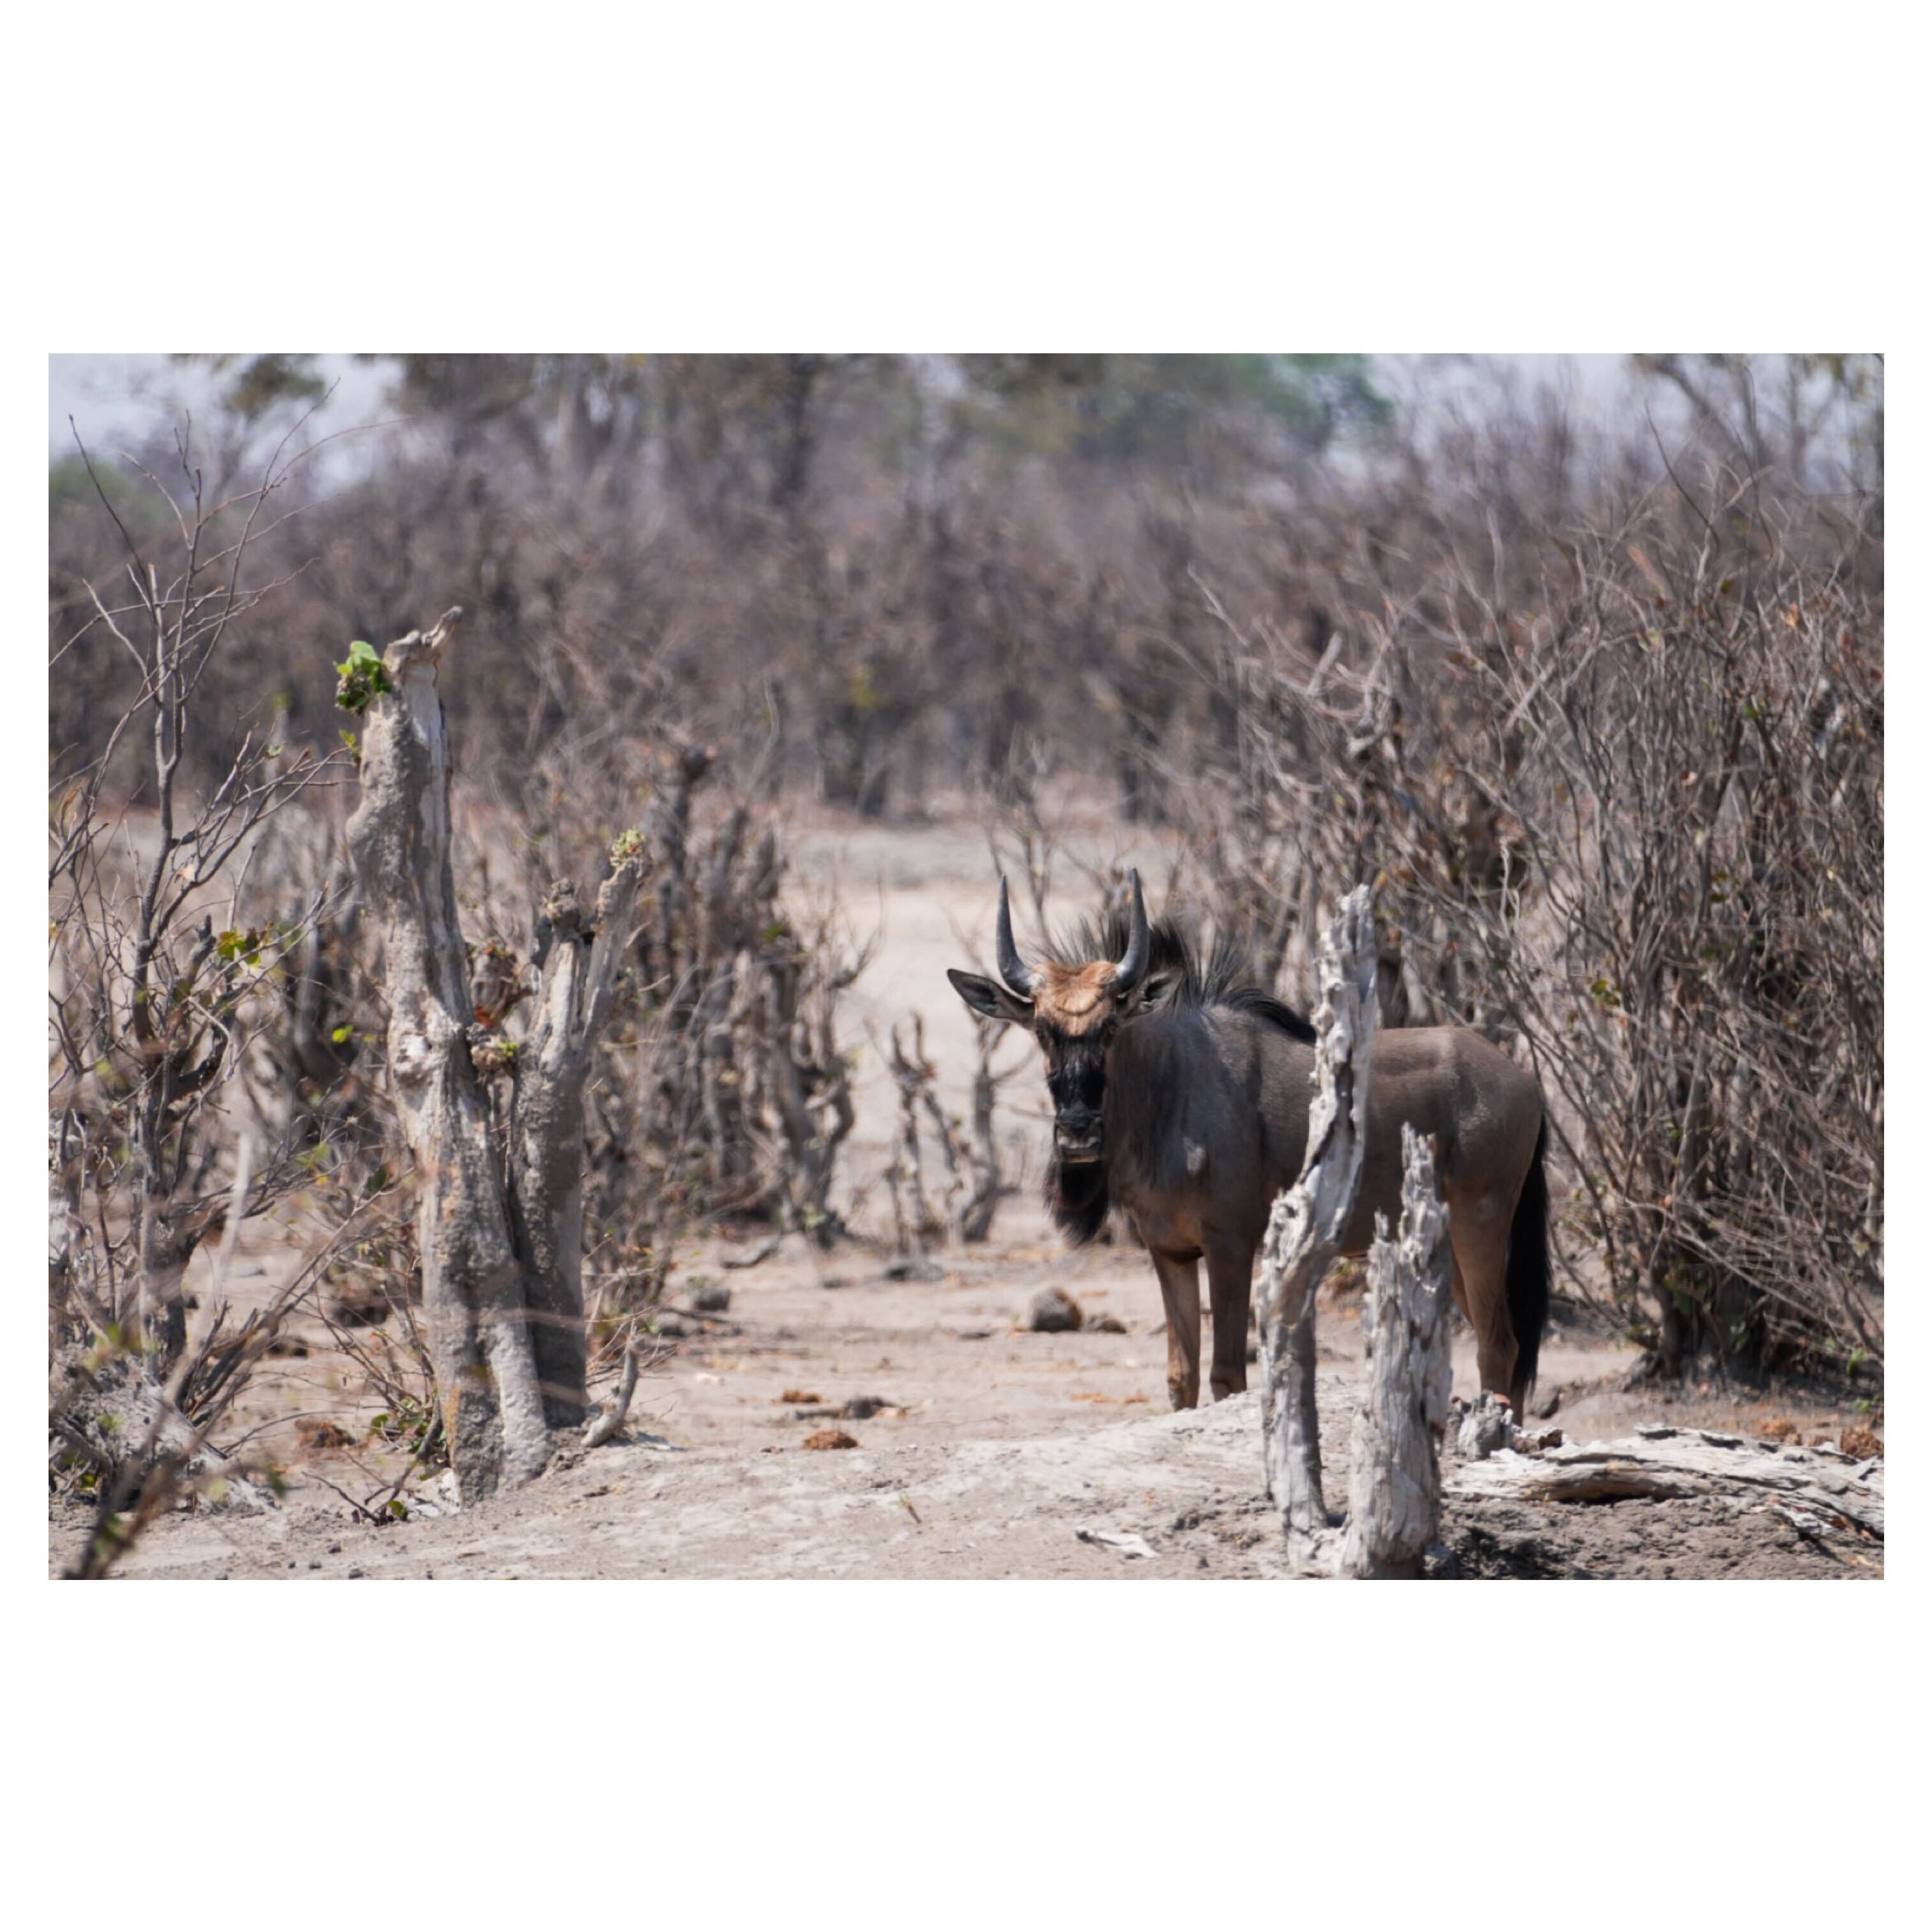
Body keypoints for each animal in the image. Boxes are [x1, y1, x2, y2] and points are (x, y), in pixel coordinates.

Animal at [948, 873, 1550, 1416]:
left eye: (1111, 1027)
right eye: (1043, 1030)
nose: (1077, 1132)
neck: (1170, 1089)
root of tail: (1523, 1081)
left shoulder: (1231, 1247)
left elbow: (1227, 1375)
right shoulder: (1170, 1253)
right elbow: (1182, 1377)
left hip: (1481, 1230)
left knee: (1499, 1345)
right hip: (1449, 1244)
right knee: (1508, 1345)